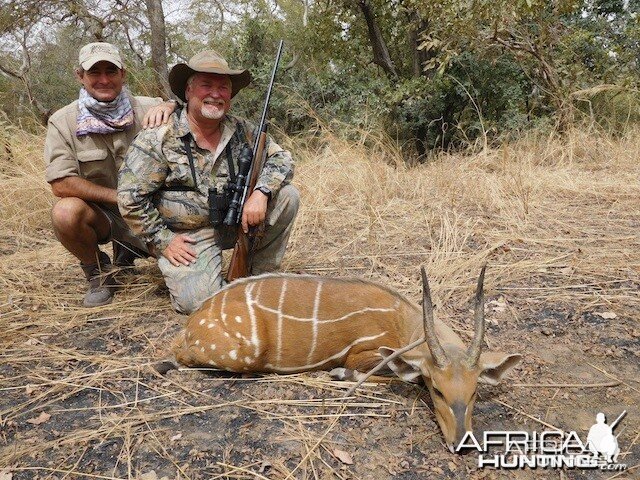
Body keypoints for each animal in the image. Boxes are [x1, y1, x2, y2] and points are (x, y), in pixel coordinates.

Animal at [170, 268, 520, 452]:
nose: (462, 442)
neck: (402, 321)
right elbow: (377, 373)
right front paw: (338, 374)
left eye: (474, 392)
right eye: (437, 390)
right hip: (245, 353)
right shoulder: (362, 354)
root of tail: (191, 326)